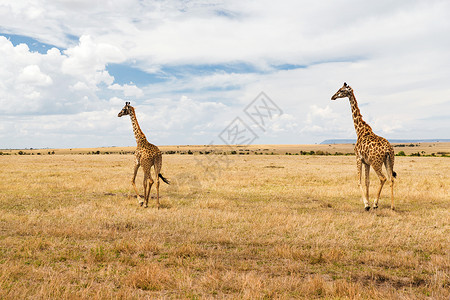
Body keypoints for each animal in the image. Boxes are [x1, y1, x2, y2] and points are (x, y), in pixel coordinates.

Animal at [330, 82, 398, 211]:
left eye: (341, 90)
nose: (333, 97)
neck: (360, 131)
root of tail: (388, 149)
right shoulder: (366, 162)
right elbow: (367, 181)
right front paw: (368, 202)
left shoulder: (358, 158)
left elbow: (359, 180)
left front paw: (367, 204)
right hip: (389, 161)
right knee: (391, 179)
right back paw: (392, 206)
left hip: (376, 162)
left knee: (383, 178)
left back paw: (376, 204)